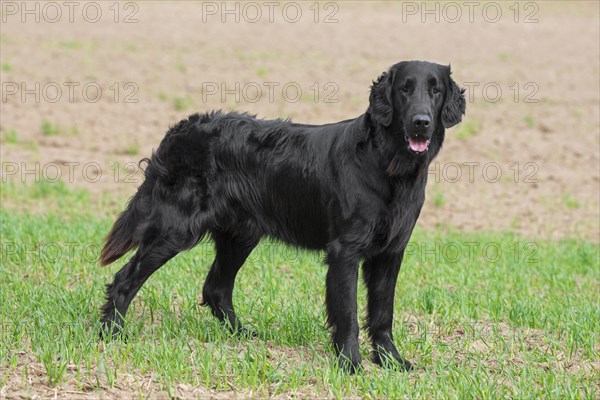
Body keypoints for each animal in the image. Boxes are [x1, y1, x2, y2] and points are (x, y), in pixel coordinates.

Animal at [98, 60, 466, 372]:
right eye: (405, 89)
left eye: (435, 90)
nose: (421, 122)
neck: (387, 164)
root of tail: (179, 130)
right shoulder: (345, 251)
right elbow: (347, 312)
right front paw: (350, 364)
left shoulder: (391, 252)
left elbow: (382, 313)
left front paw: (391, 361)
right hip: (175, 230)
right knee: (124, 280)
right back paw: (112, 333)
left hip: (241, 235)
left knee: (216, 288)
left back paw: (243, 335)